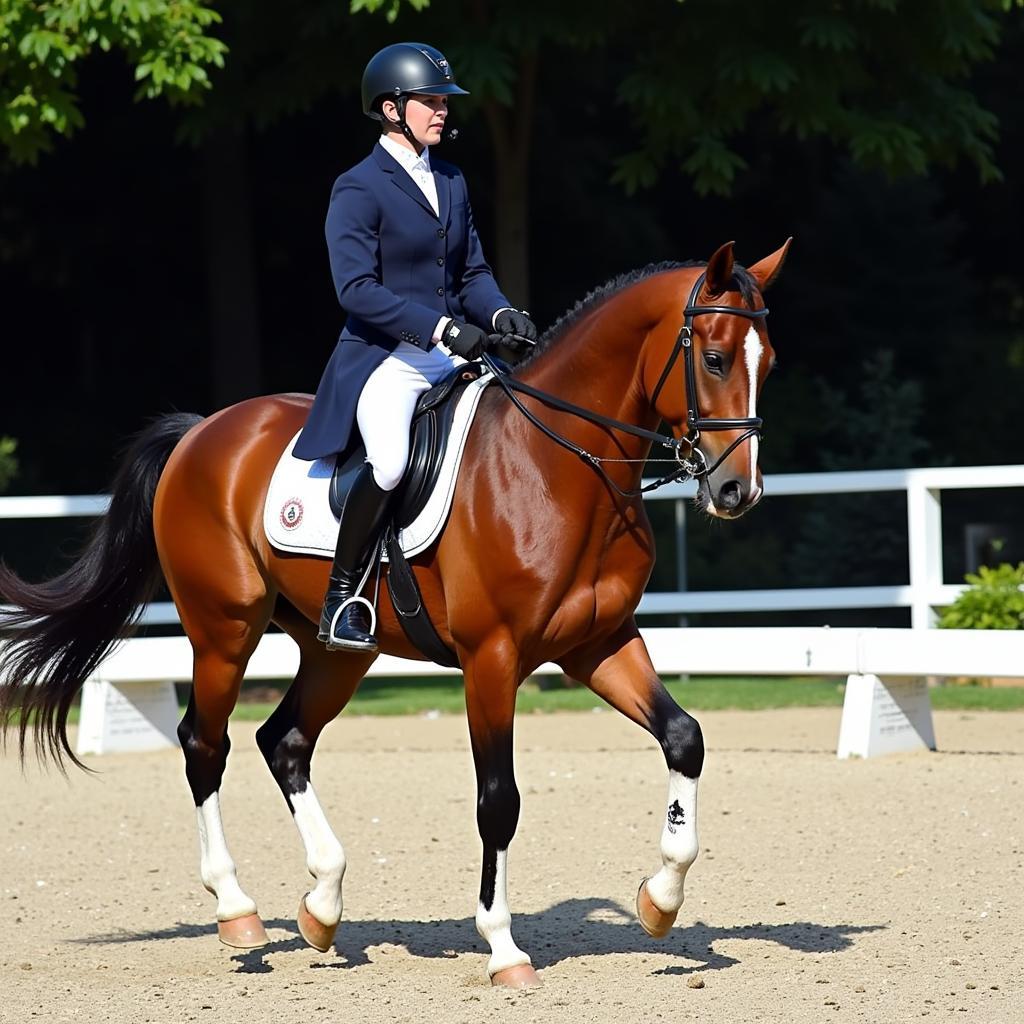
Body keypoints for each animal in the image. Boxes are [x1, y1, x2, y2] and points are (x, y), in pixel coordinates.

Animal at [0, 237, 786, 983]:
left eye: (768, 363)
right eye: (715, 358)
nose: (737, 492)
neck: (557, 468)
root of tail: (202, 430)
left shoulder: (599, 642)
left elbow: (684, 738)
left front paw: (660, 901)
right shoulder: (492, 657)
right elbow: (498, 800)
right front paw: (503, 948)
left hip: (335, 649)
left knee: (284, 741)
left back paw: (322, 905)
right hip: (224, 629)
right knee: (205, 743)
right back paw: (237, 910)